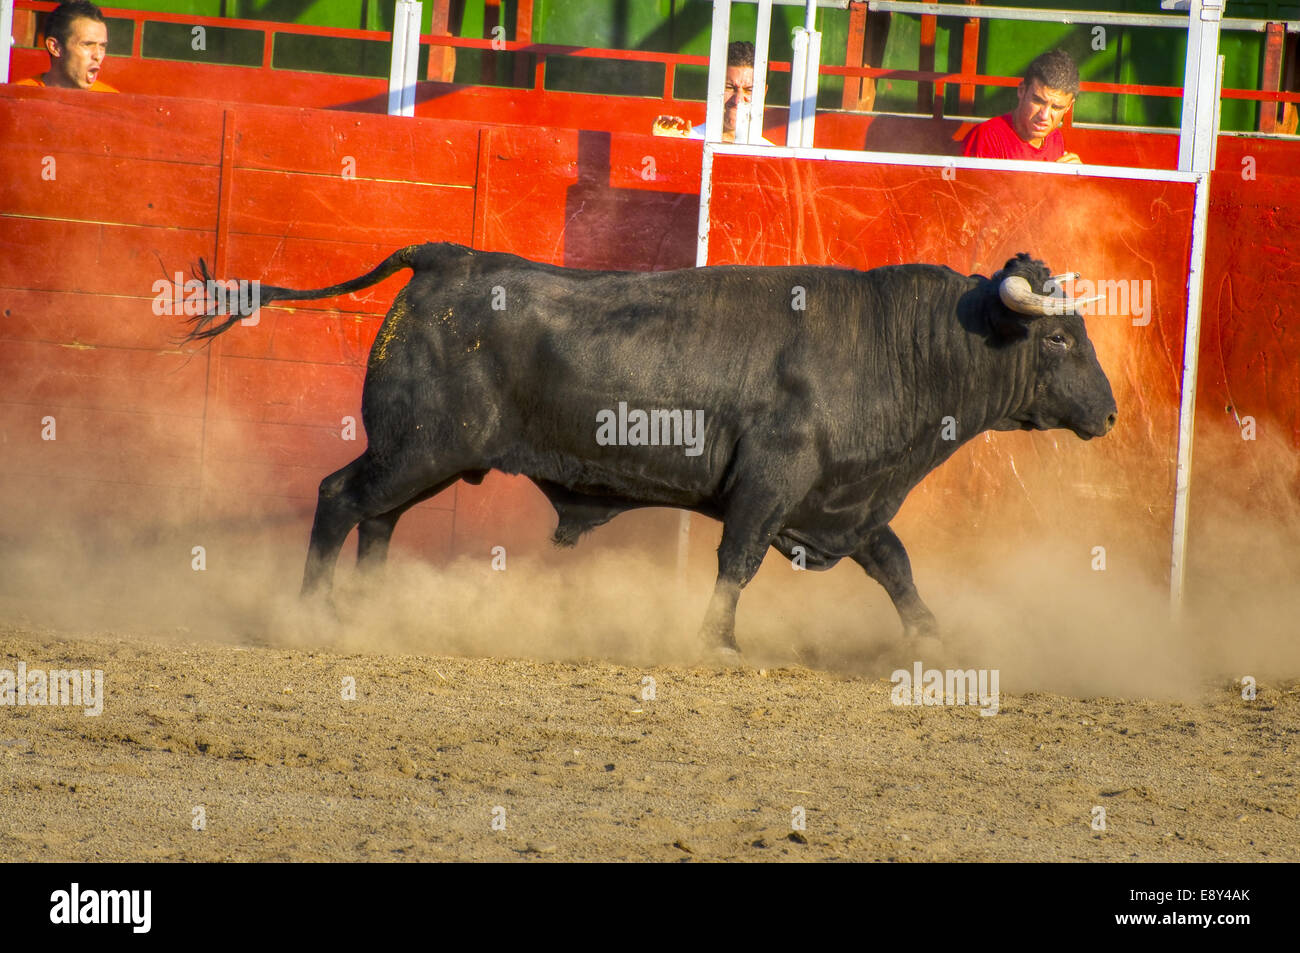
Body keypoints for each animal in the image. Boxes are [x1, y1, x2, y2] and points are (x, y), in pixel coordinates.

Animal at [185, 241, 1118, 657]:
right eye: (1061, 338)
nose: (1109, 414)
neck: (896, 348)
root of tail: (446, 259)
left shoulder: (842, 503)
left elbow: (896, 565)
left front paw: (937, 641)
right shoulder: (772, 484)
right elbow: (737, 560)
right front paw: (716, 642)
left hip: (428, 457)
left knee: (377, 519)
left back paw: (370, 612)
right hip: (415, 447)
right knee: (341, 498)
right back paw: (313, 614)